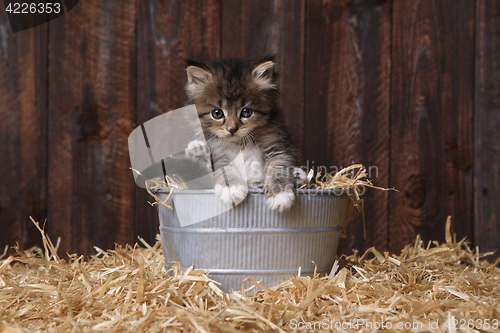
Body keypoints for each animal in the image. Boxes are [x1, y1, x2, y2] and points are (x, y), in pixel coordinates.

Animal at [185, 55, 304, 210]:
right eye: (217, 113)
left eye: (246, 112)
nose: (232, 129)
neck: (241, 143)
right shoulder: (218, 152)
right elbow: (223, 168)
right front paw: (231, 188)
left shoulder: (278, 145)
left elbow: (278, 166)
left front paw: (279, 195)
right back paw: (198, 152)